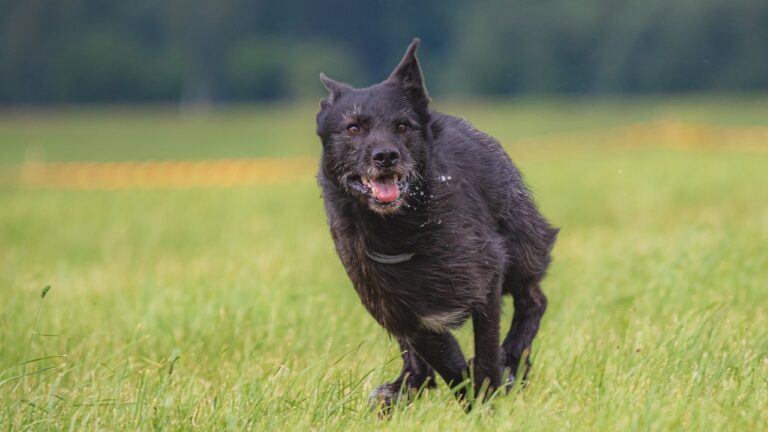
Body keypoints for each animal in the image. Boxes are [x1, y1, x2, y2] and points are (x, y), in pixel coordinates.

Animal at [316, 38, 556, 404]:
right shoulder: (401, 311)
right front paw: (467, 391)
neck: (401, 225)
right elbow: (445, 361)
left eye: (402, 126)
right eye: (353, 128)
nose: (386, 156)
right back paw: (404, 385)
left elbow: (485, 352)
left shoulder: (484, 280)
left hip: (520, 248)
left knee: (533, 301)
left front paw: (488, 392)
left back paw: (513, 360)